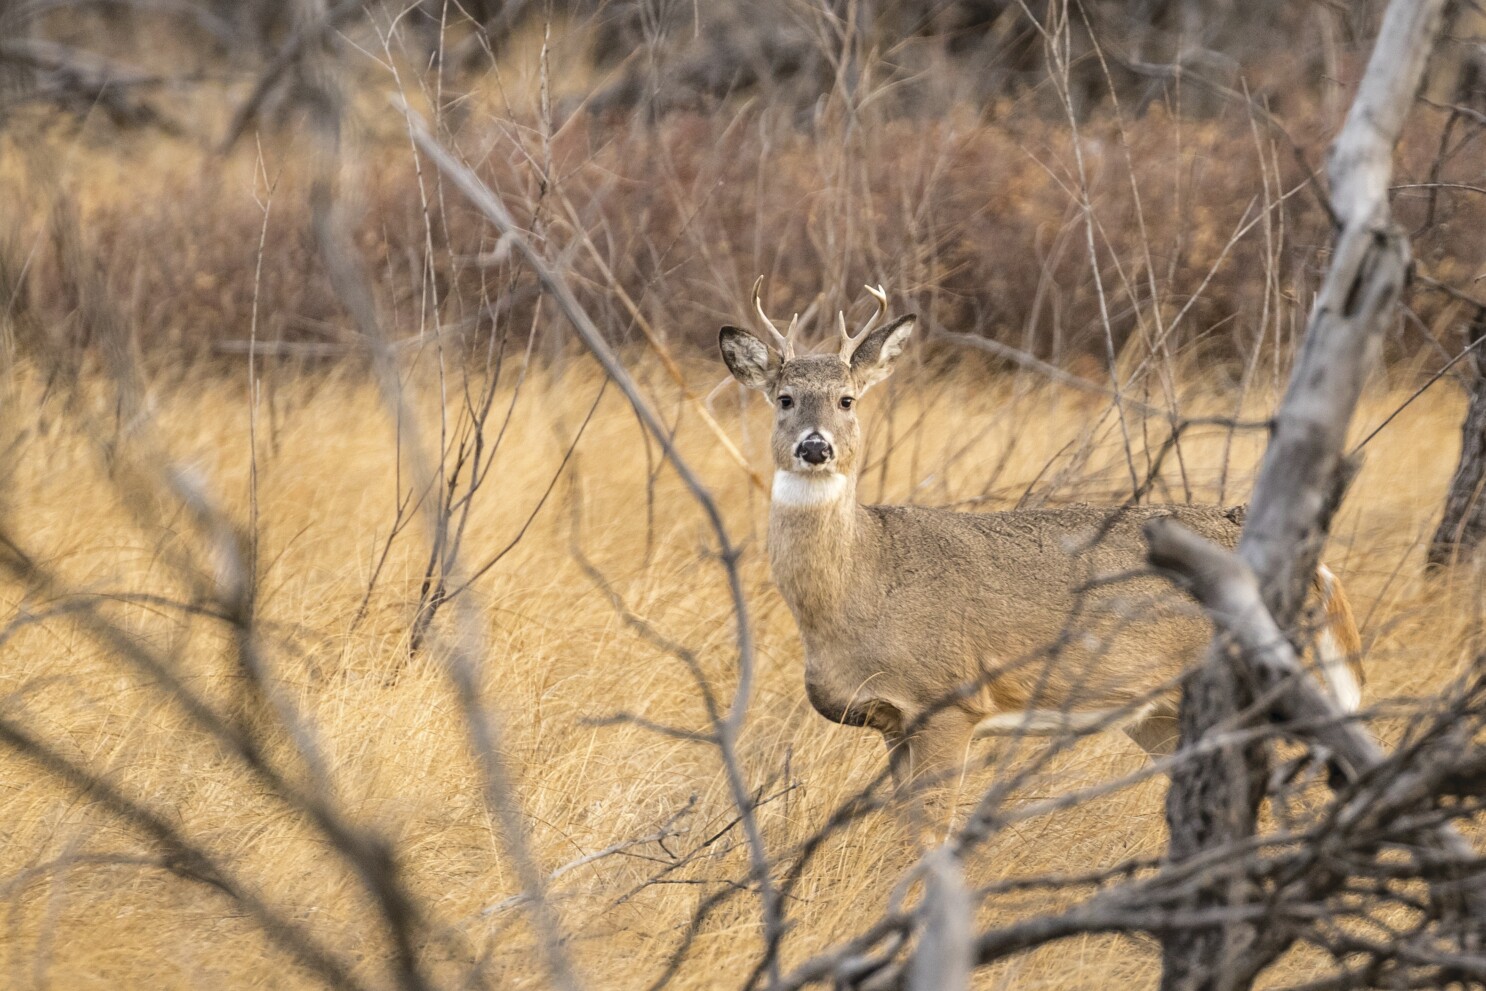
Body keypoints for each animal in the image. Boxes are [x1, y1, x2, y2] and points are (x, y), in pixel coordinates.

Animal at [719, 281, 1365, 798]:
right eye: (784, 399)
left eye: (847, 400)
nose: (815, 446)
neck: (864, 580)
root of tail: (1319, 571)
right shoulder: (893, 722)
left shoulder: (948, 700)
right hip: (1159, 712)